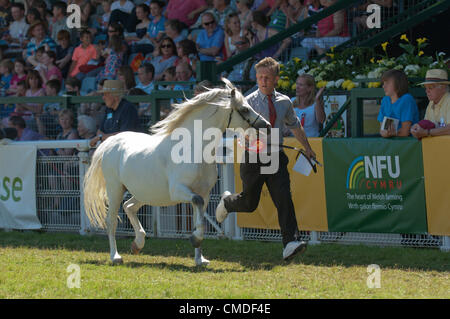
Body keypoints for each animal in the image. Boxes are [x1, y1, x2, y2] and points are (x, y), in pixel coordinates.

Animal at [82, 80, 268, 268]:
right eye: (244, 109)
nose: (266, 125)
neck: (192, 149)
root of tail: (111, 142)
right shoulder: (179, 190)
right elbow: (197, 206)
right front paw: (195, 239)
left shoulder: (205, 194)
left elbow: (198, 219)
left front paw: (200, 259)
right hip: (116, 189)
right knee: (111, 221)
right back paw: (116, 256)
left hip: (146, 192)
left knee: (129, 206)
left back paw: (138, 243)